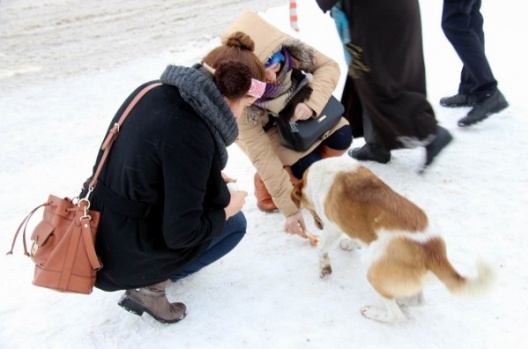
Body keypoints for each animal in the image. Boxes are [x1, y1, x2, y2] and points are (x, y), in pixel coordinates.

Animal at [290, 156, 498, 322]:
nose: (317, 224)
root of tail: (435, 253)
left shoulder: (333, 227)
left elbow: (322, 249)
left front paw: (325, 267)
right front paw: (349, 244)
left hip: (372, 267)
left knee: (396, 315)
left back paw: (373, 312)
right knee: (417, 301)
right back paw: (401, 299)